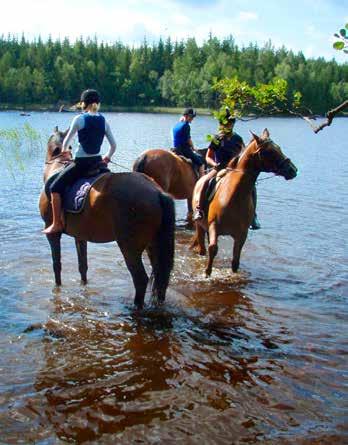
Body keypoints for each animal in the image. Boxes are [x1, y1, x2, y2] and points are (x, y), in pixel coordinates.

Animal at [39, 126, 175, 306]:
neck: (56, 166)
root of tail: (157, 191)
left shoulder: (53, 234)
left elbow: (57, 265)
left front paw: (58, 286)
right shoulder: (80, 236)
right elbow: (83, 266)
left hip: (130, 248)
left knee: (140, 280)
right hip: (154, 245)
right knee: (161, 278)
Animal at [192, 126, 298, 276]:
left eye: (279, 148)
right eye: (271, 152)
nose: (293, 170)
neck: (233, 197)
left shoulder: (241, 234)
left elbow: (235, 260)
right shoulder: (214, 226)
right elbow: (213, 248)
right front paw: (207, 273)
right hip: (200, 226)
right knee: (202, 249)